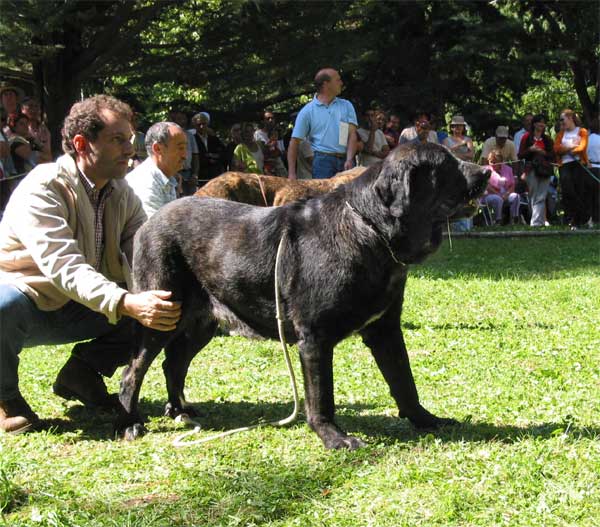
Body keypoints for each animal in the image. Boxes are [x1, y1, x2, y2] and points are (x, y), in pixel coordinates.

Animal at [116, 144, 488, 450]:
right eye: (447, 165)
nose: (486, 171)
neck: (369, 230)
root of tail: (150, 222)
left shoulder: (385, 330)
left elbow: (404, 381)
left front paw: (425, 419)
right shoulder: (315, 338)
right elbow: (322, 395)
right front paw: (334, 437)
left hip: (203, 323)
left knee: (173, 362)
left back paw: (179, 409)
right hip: (160, 312)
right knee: (133, 371)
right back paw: (130, 423)